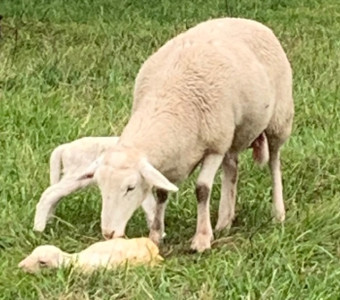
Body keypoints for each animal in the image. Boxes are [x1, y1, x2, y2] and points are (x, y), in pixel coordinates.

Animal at [75, 17, 294, 252]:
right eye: (100, 186)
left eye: (130, 188)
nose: (108, 233)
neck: (169, 100)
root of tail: (247, 20)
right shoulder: (171, 159)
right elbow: (161, 193)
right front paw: (156, 233)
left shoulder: (215, 146)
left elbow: (202, 189)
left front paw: (202, 238)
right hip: (233, 134)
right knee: (232, 167)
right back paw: (225, 220)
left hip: (279, 119)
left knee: (274, 162)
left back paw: (278, 213)